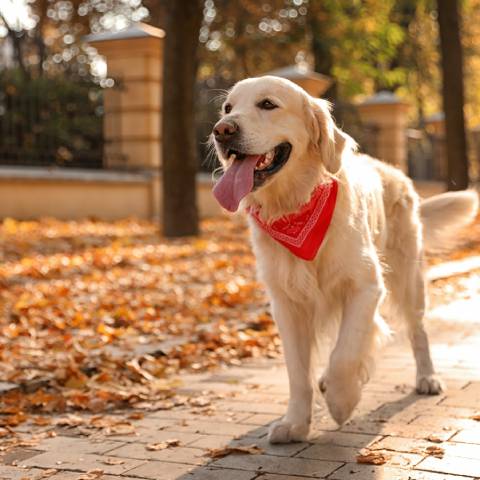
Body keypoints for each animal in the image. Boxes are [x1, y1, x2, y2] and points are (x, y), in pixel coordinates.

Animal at [210, 77, 480, 444]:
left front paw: (342, 400)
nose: (222, 131)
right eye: (227, 108)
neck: (296, 204)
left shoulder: (366, 285)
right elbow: (298, 372)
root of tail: (395, 171)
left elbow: (346, 352)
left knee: (417, 331)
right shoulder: (287, 304)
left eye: (268, 104)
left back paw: (426, 378)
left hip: (408, 280)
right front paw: (295, 423)